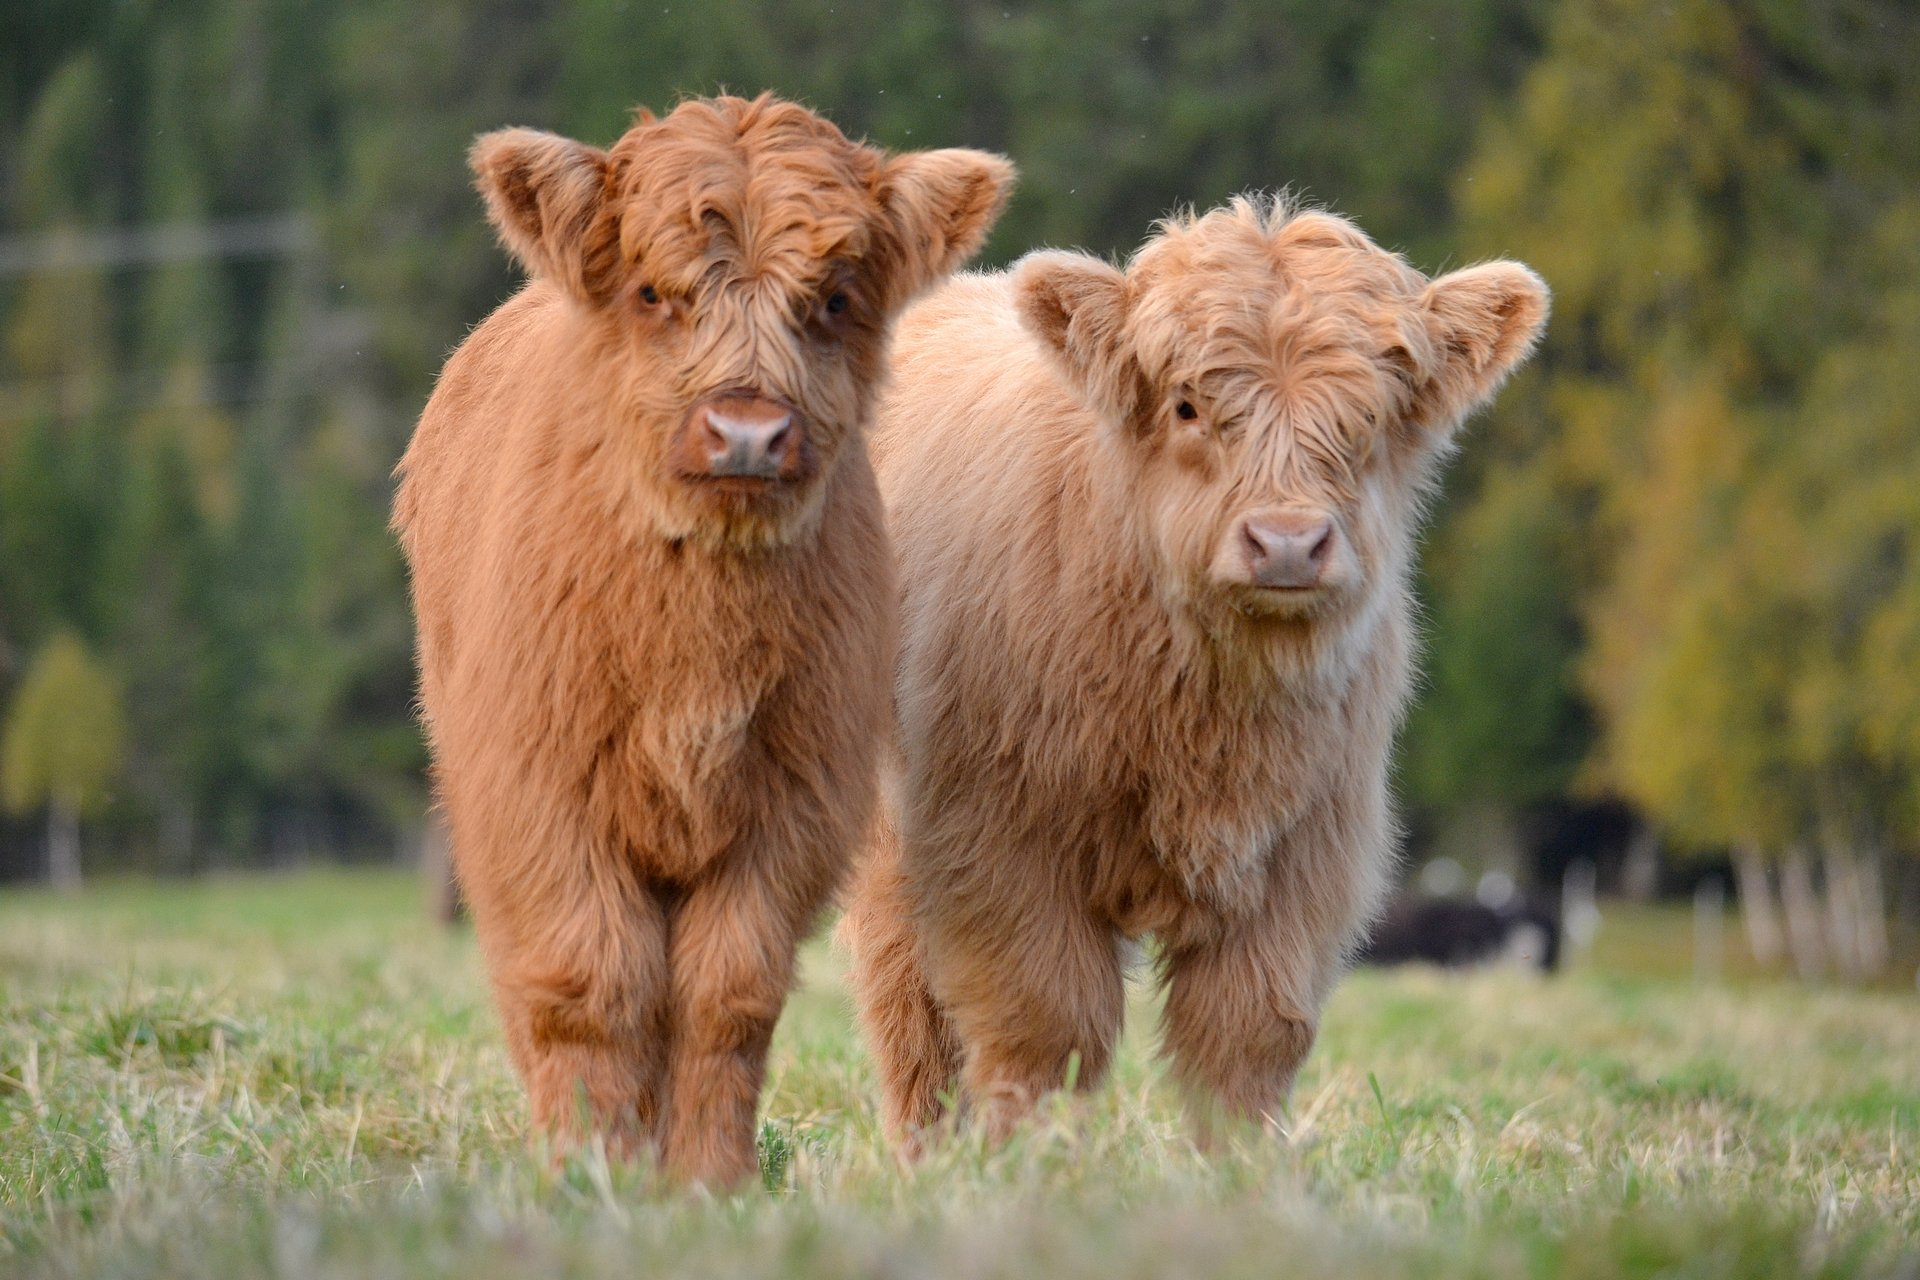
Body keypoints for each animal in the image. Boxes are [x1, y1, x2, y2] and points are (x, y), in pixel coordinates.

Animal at [393, 94, 1021, 1189]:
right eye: (654, 291)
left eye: (834, 297)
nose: (747, 433)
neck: (695, 650)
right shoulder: (543, 800)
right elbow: (592, 987)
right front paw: (592, 1168)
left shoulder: (792, 807)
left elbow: (727, 997)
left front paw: (704, 1178)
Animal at [840, 197, 1543, 1151]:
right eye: (1186, 406)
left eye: (1369, 419)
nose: (1287, 542)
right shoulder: (995, 840)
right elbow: (1044, 1024)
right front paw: (1029, 1162)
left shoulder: (1306, 852)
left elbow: (1248, 1032)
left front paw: (1242, 1168)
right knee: (909, 1011)